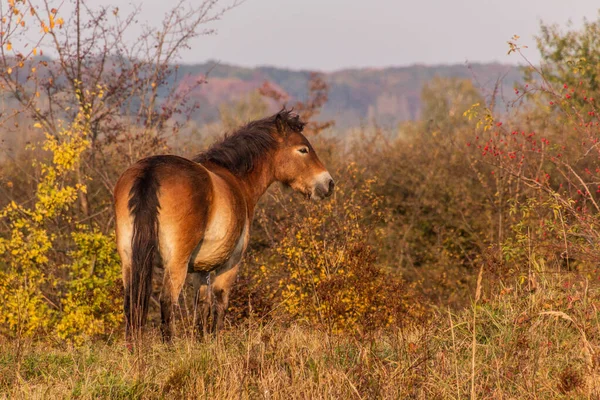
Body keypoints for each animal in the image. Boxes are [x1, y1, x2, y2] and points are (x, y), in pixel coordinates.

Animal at [115, 110, 336, 344]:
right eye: (303, 149)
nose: (328, 184)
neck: (236, 179)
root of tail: (151, 171)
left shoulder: (201, 270)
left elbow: (202, 307)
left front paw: (201, 342)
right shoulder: (231, 263)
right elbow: (220, 302)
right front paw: (216, 341)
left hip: (129, 259)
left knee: (131, 303)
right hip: (175, 263)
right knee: (167, 301)